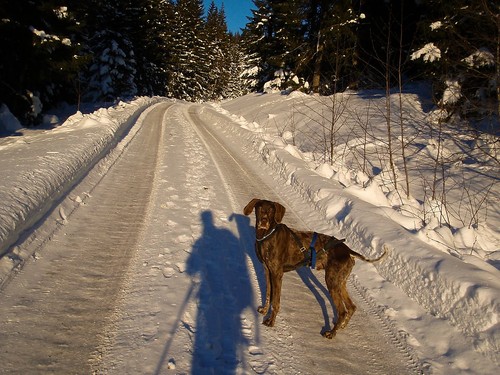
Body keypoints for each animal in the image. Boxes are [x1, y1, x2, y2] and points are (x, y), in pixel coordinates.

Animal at [242, 198, 386, 340]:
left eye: (272, 210)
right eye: (260, 208)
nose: (264, 221)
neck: (267, 235)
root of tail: (348, 251)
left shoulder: (277, 273)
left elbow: (276, 300)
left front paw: (271, 321)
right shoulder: (268, 271)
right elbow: (268, 294)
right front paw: (264, 311)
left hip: (332, 281)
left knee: (342, 310)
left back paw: (331, 333)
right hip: (340, 282)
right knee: (351, 307)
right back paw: (341, 326)